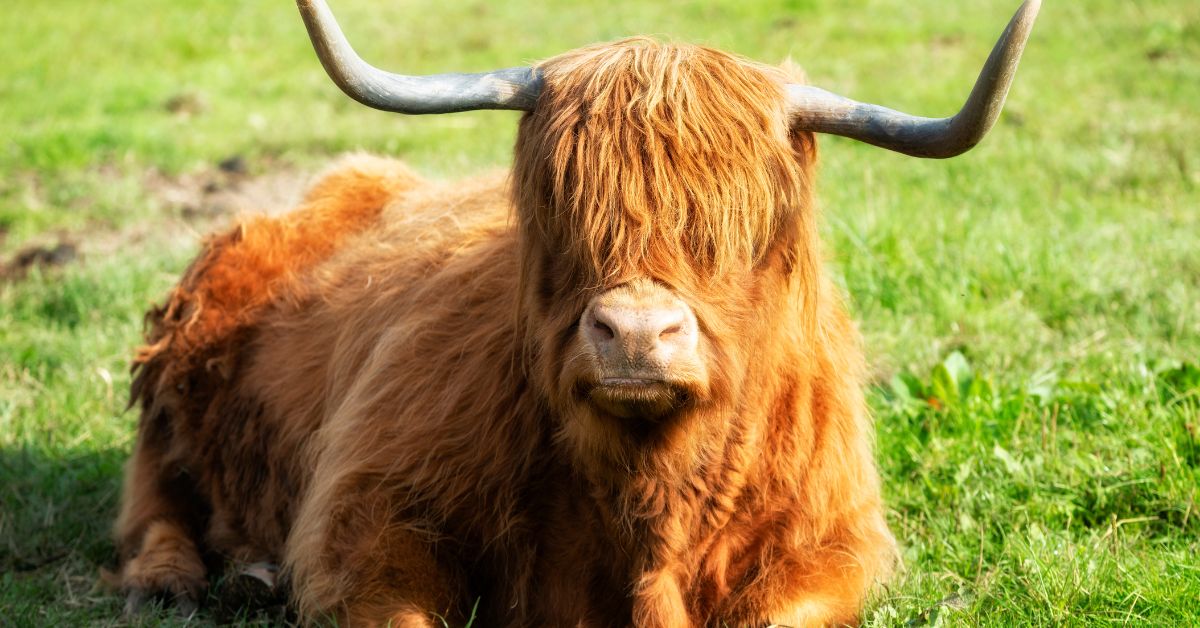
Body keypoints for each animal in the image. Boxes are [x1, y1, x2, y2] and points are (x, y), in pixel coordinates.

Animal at [111, 0, 1040, 625]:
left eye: (744, 227)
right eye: (560, 209)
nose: (635, 336)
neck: (648, 494)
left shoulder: (832, 544)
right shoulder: (364, 513)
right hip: (177, 376)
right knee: (152, 496)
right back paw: (182, 577)